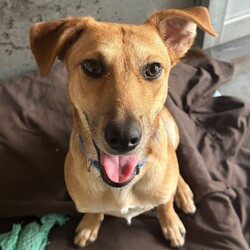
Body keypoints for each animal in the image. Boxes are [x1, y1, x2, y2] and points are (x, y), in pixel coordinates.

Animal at [29, 6, 217, 248]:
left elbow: (164, 206)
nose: (124, 138)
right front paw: (90, 223)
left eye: (153, 69)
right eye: (92, 66)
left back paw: (182, 192)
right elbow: (94, 210)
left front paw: (171, 223)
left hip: (172, 131)